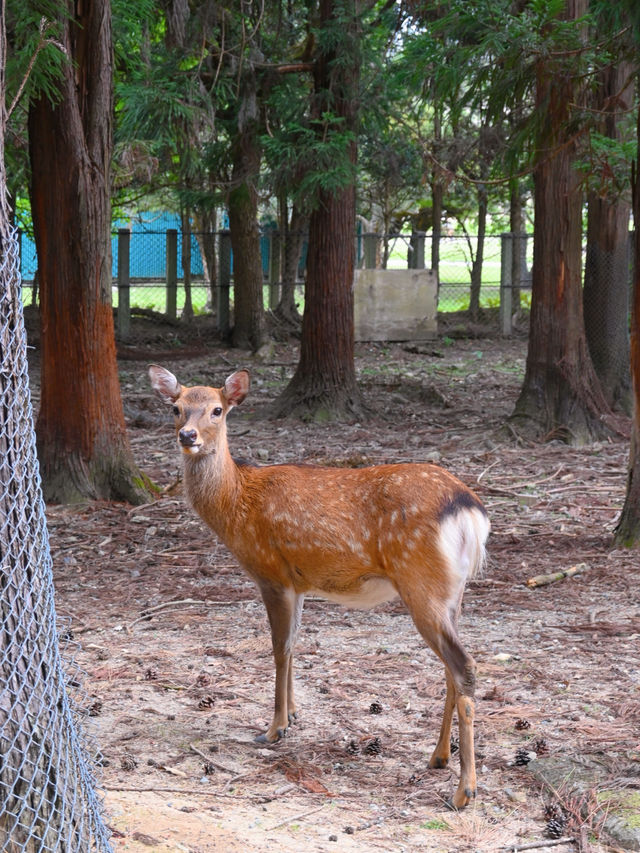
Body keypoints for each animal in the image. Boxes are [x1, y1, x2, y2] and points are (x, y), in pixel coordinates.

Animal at [149, 362, 490, 808]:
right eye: (175, 408)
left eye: (217, 410)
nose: (187, 436)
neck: (237, 501)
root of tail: (470, 512)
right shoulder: (299, 583)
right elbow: (295, 645)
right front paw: (294, 713)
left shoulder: (271, 572)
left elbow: (279, 649)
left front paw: (274, 728)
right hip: (453, 593)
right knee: (452, 669)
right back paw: (438, 757)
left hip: (421, 583)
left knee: (463, 666)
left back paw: (464, 789)